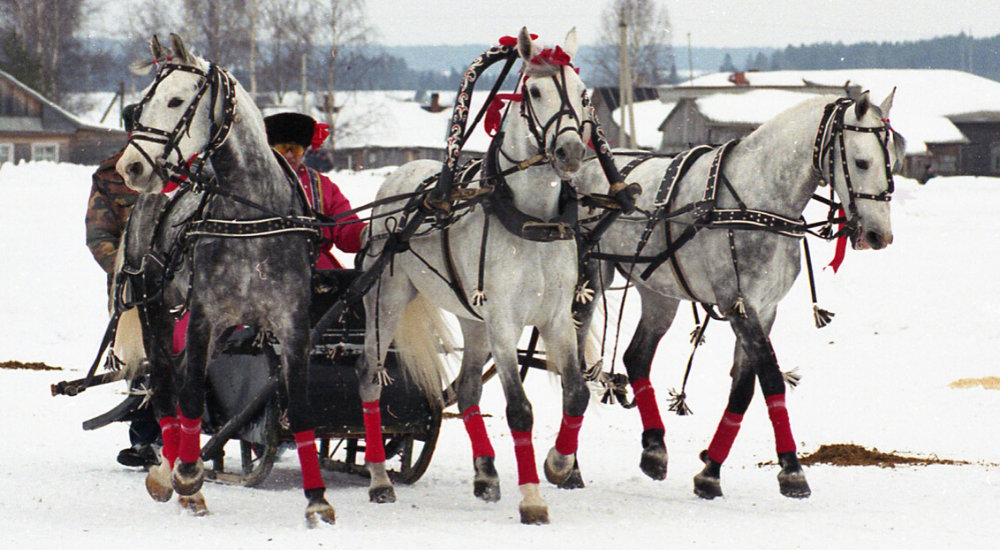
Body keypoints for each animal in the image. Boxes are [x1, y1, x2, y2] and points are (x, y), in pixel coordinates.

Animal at [360, 29, 592, 528]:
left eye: (584, 94)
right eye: (533, 91)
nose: (570, 152)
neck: (531, 220)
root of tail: (399, 178)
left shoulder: (556, 318)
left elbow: (578, 394)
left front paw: (558, 464)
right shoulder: (505, 323)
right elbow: (519, 410)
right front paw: (532, 498)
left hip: (472, 317)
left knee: (466, 388)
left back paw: (485, 473)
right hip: (386, 302)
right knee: (369, 378)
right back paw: (379, 480)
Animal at [572, 91, 908, 500]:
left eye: (892, 162)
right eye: (861, 162)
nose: (879, 235)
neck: (758, 200)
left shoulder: (764, 308)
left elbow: (743, 389)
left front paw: (710, 470)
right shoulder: (740, 306)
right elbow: (772, 379)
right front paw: (792, 470)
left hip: (658, 290)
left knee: (636, 357)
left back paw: (654, 449)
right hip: (588, 278)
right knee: (570, 358)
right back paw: (568, 464)